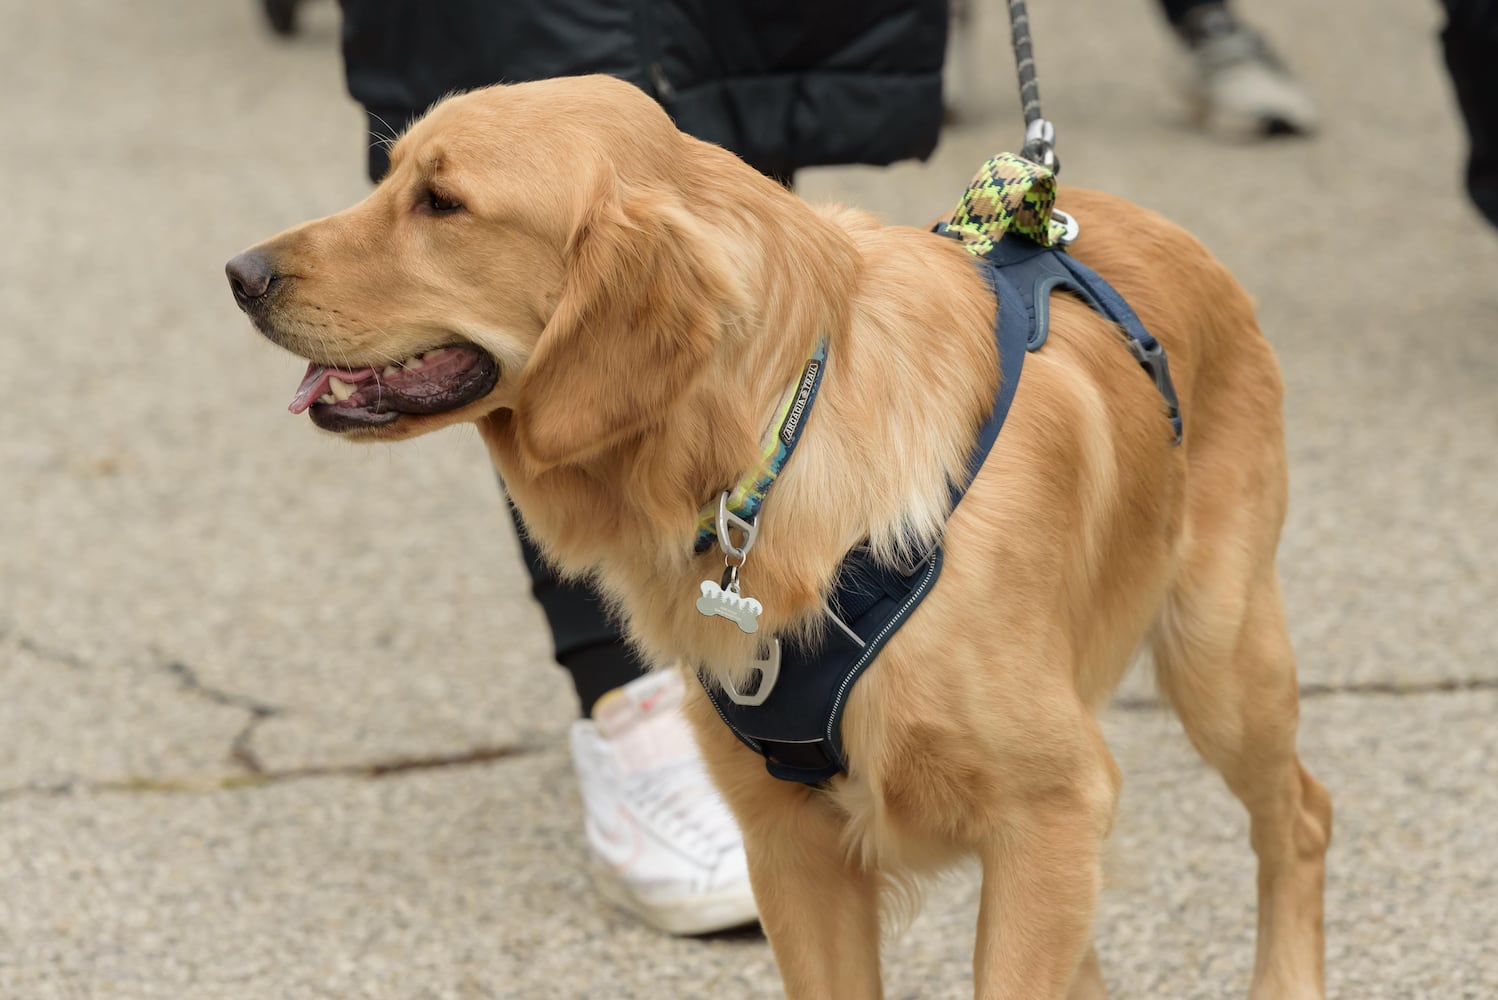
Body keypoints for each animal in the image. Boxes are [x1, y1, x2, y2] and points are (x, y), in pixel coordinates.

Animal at [230, 74, 1336, 994]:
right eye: (390, 178)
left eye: (442, 204)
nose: (240, 273)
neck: (768, 449)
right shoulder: (794, 852)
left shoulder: (1052, 808)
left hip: (1218, 659)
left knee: (1301, 816)